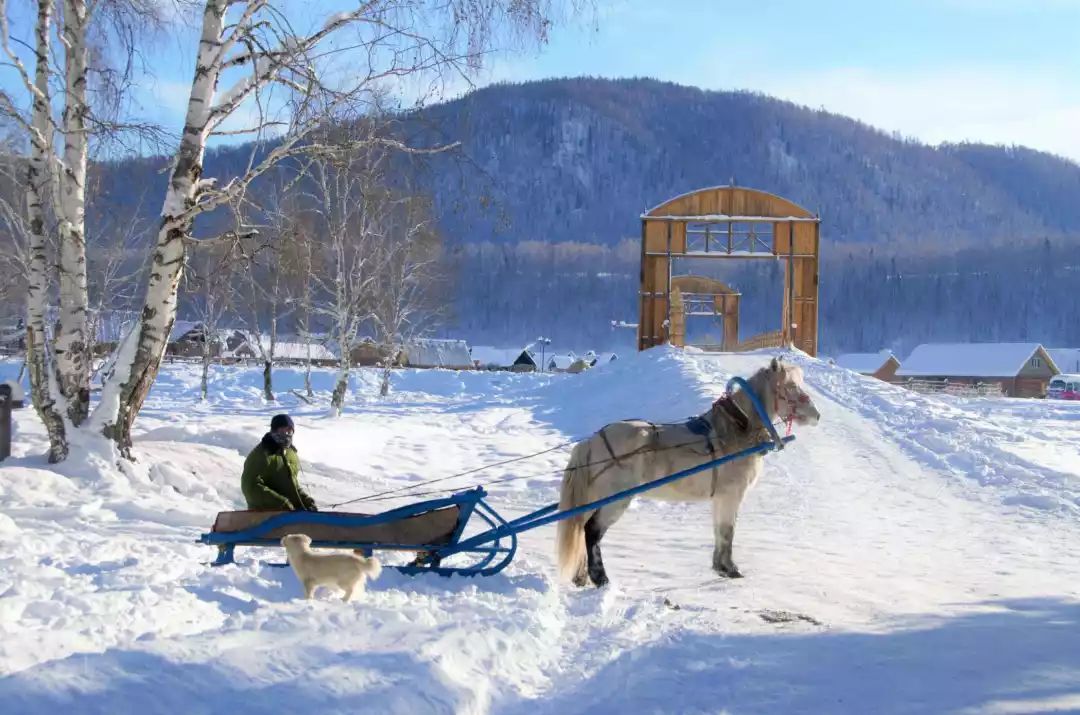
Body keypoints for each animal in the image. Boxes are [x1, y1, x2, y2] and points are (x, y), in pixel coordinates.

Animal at [557, 358, 816, 587]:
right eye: (791, 386)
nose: (817, 415)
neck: (735, 430)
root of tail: (591, 441)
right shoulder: (731, 496)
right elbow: (728, 531)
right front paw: (731, 569)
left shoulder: (720, 498)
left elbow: (720, 531)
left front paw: (721, 567)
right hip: (615, 500)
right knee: (592, 531)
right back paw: (600, 578)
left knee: (580, 529)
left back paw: (581, 577)